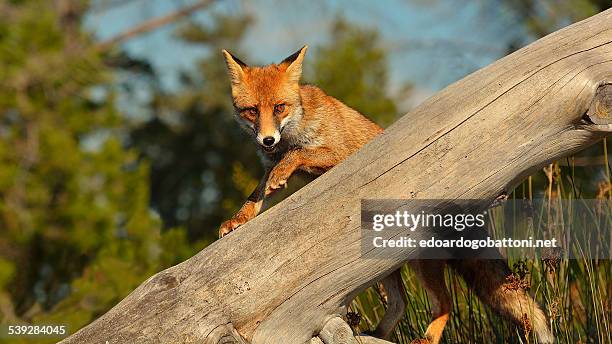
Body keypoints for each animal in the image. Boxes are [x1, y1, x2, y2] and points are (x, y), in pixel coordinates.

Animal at [218, 46, 552, 344]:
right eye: (252, 111)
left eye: (279, 107)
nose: (267, 140)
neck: (294, 130)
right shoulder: (271, 164)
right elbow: (256, 193)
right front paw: (238, 219)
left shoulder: (339, 158)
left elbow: (297, 155)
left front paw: (282, 172)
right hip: (381, 268)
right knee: (401, 304)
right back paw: (373, 334)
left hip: (420, 264)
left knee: (444, 303)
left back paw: (426, 338)